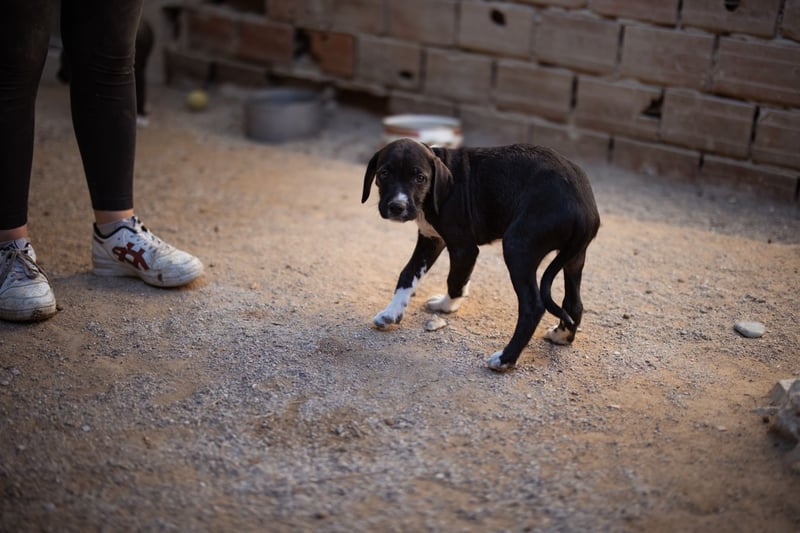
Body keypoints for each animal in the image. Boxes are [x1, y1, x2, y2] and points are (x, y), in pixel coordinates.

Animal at [362, 139, 600, 371]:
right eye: (384, 173)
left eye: (420, 178)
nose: (397, 206)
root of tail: (582, 205)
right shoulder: (431, 239)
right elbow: (408, 274)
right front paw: (391, 313)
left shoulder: (463, 247)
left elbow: (454, 280)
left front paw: (448, 305)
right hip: (574, 258)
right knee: (574, 303)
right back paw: (562, 335)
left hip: (518, 247)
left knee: (533, 306)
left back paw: (505, 359)